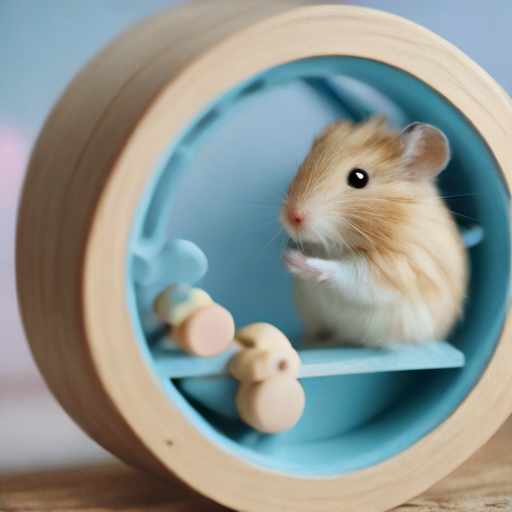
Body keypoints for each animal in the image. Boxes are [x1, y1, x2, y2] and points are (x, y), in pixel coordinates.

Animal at [280, 116, 468, 348]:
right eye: (303, 164)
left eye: (358, 178)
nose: (292, 217)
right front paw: (290, 254)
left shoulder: (393, 269)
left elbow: (347, 273)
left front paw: (295, 261)